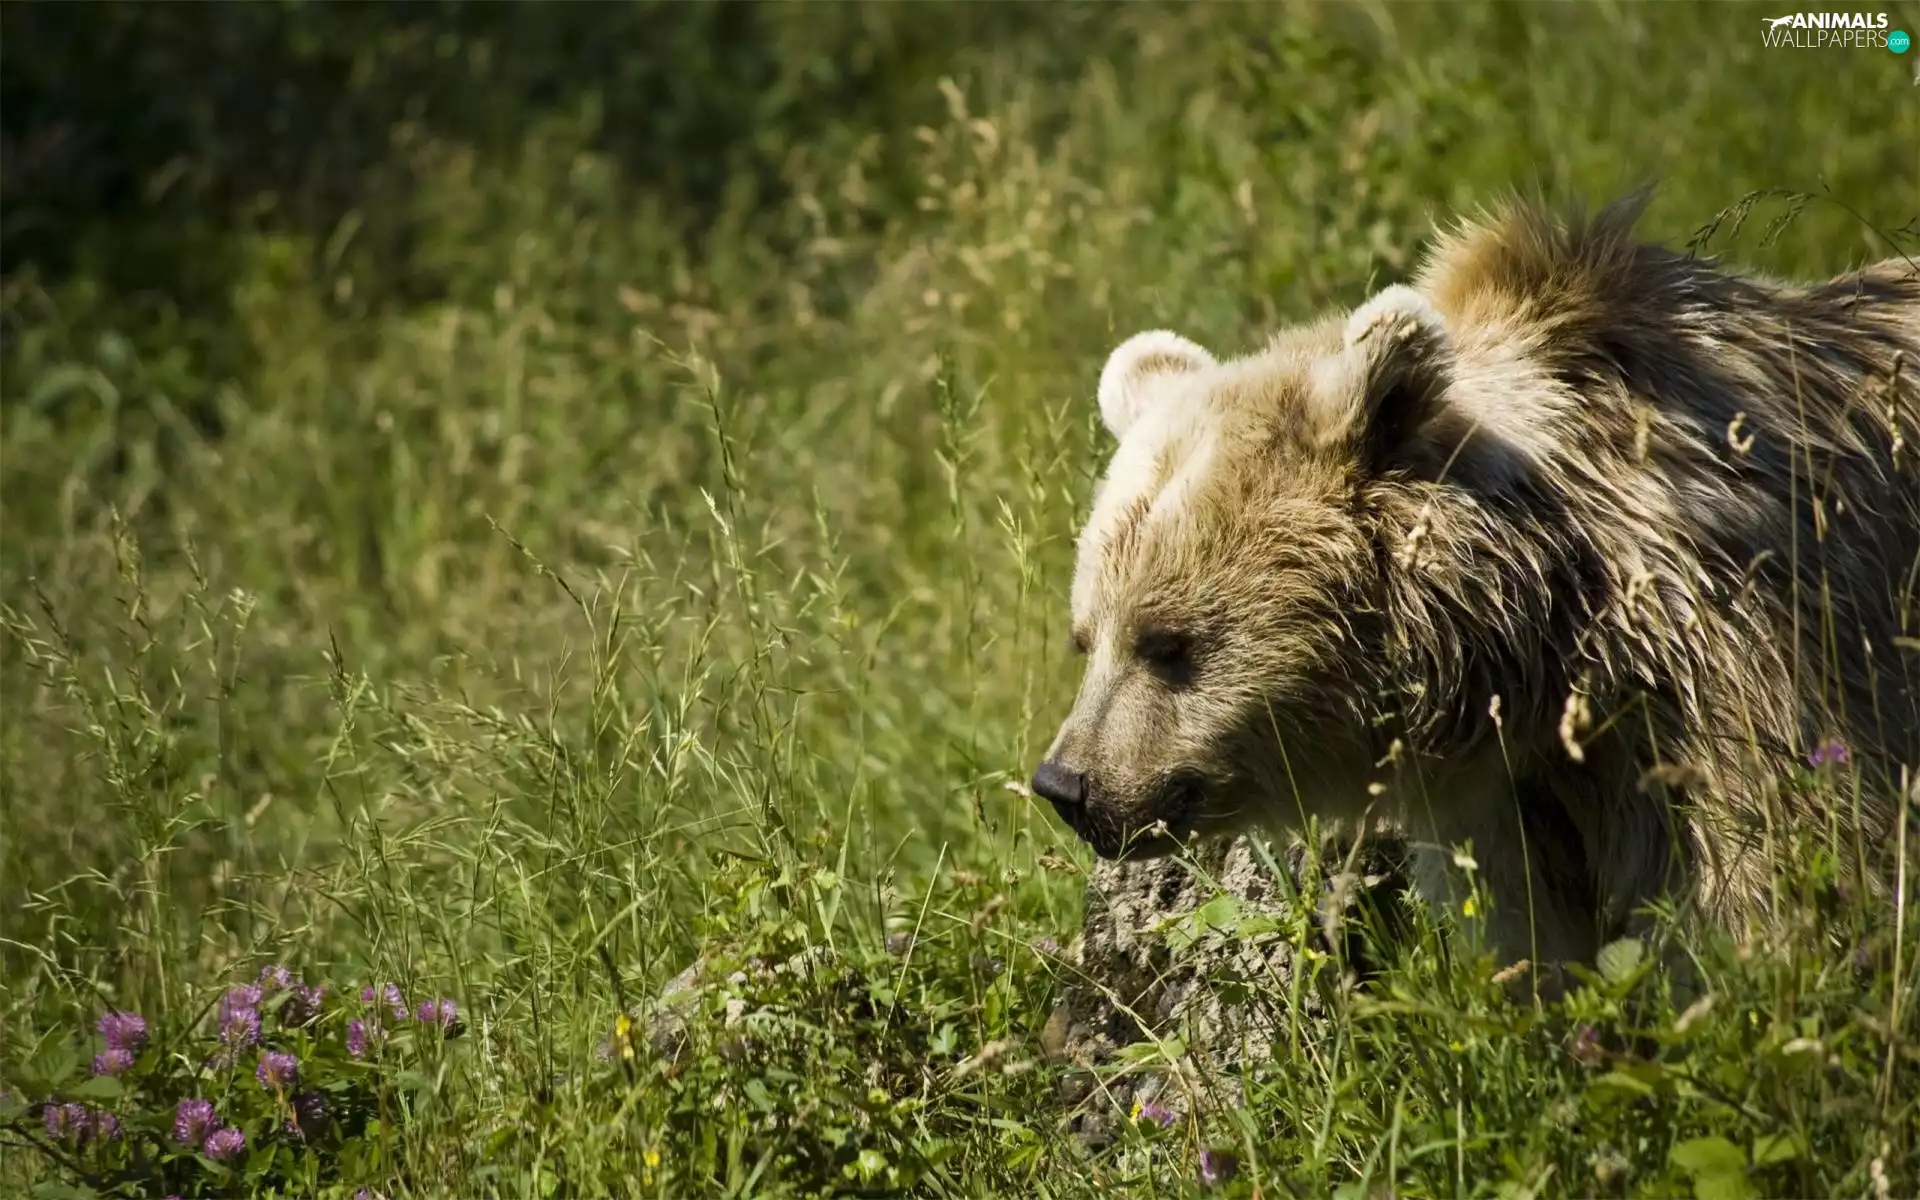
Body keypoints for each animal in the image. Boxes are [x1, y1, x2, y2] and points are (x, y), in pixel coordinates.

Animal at [1030, 191, 1920, 977]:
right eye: (1086, 637)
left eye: (1167, 643)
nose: (1066, 784)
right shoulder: (1515, 804)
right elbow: (1543, 947)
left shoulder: (1751, 670)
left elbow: (1777, 882)